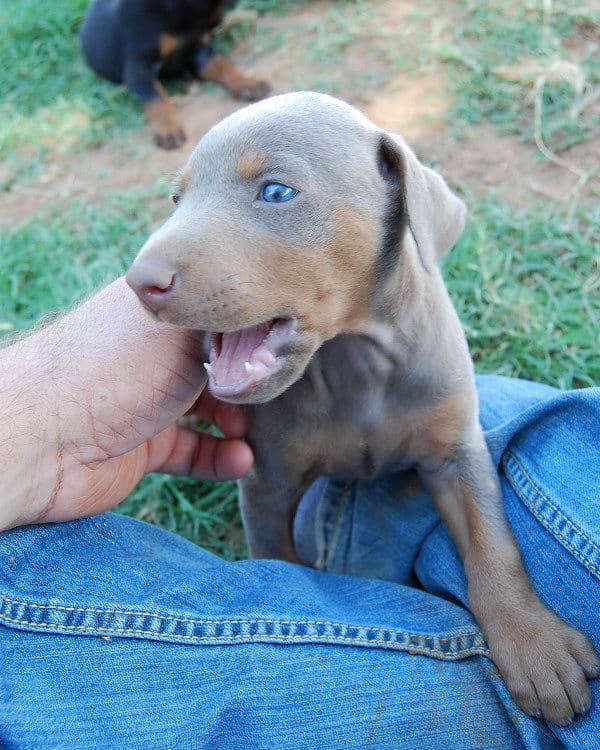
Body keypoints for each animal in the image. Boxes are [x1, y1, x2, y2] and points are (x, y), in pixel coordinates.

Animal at [79, 0, 270, 150]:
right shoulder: (137, 67)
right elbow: (156, 97)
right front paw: (167, 129)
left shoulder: (199, 50)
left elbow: (223, 65)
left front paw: (246, 83)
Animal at [126, 91, 600, 724]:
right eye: (177, 200)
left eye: (276, 191)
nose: (139, 283)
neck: (354, 360)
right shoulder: (268, 482)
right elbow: (279, 559)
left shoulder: (458, 450)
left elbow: (492, 540)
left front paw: (534, 643)